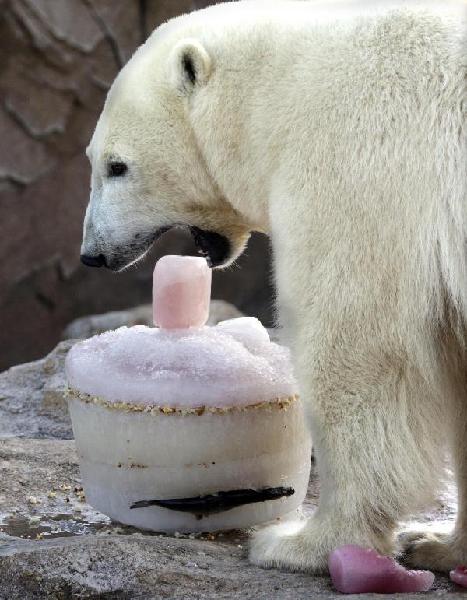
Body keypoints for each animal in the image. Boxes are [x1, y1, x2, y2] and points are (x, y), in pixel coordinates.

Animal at [80, 0, 467, 572]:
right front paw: (437, 543)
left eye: (117, 166)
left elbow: (356, 346)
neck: (281, 89)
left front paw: (305, 543)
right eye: (98, 161)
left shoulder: (364, 161)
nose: (93, 253)